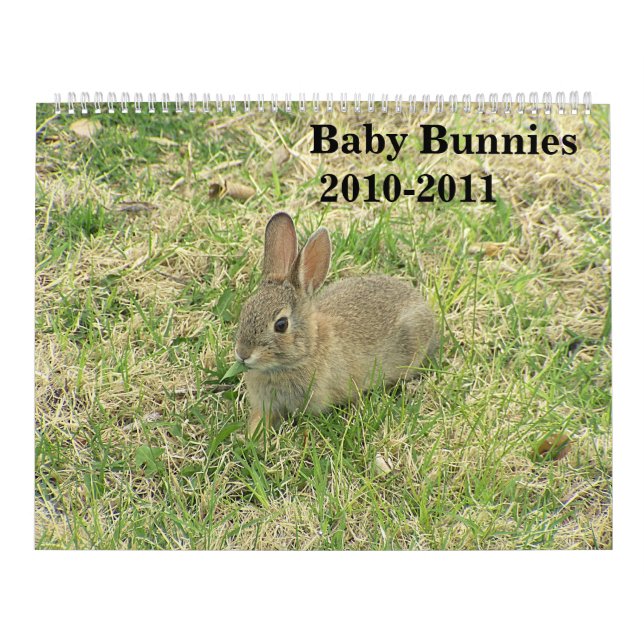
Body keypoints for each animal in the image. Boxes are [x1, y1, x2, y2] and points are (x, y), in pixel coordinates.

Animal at [234, 212, 438, 436]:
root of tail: (424, 306)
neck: (307, 351)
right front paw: (251, 438)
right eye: (245, 308)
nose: (243, 354)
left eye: (281, 325)